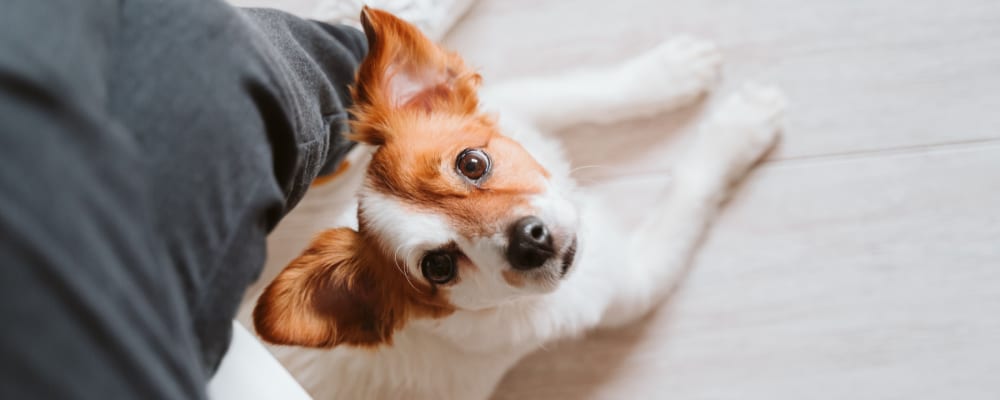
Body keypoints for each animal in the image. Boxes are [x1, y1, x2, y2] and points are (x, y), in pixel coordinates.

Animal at [254, 7, 784, 400]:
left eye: (472, 163)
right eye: (439, 267)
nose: (530, 242)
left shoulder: (517, 102)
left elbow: (583, 91)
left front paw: (669, 72)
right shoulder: (633, 281)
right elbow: (689, 188)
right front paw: (740, 127)